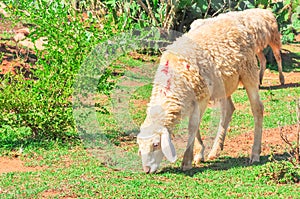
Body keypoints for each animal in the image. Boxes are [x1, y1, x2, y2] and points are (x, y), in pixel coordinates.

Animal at [137, 16, 264, 173]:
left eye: (155, 144)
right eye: (140, 147)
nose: (146, 170)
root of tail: (236, 21)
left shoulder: (202, 97)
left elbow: (193, 125)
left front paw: (187, 161)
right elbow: (195, 125)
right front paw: (198, 154)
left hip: (249, 71)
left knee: (257, 109)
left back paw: (255, 154)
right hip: (223, 84)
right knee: (228, 109)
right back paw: (215, 151)